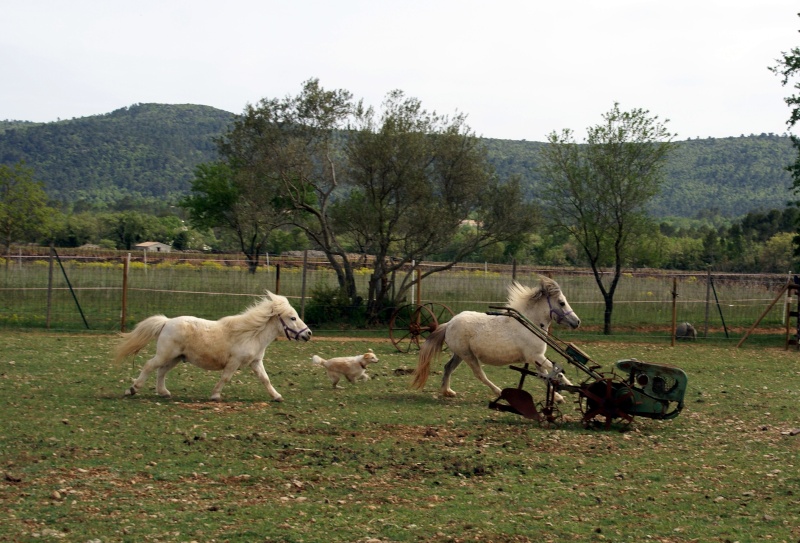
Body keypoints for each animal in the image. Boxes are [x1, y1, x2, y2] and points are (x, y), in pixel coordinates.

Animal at [114, 294, 310, 404]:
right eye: (292, 318)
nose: (308, 334)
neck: (251, 334)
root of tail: (166, 322)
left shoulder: (255, 362)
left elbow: (265, 379)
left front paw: (277, 396)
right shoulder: (234, 362)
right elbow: (225, 377)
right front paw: (215, 395)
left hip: (175, 358)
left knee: (161, 372)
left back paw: (164, 393)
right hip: (165, 354)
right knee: (149, 366)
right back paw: (133, 389)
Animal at [412, 280, 580, 400]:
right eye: (562, 302)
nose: (577, 322)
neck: (529, 325)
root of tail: (449, 324)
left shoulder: (536, 359)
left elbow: (545, 376)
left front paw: (558, 397)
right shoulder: (536, 357)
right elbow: (556, 371)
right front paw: (571, 388)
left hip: (459, 355)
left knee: (448, 368)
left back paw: (448, 392)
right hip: (468, 356)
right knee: (480, 375)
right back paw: (499, 392)